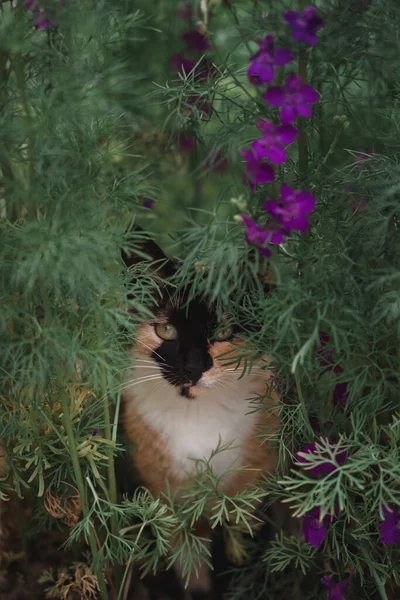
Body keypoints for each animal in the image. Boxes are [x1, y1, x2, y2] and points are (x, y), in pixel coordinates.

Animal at [120, 227, 280, 596]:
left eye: (224, 331)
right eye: (166, 330)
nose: (192, 369)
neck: (198, 420)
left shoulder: (250, 490)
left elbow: (240, 554)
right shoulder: (168, 499)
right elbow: (191, 569)